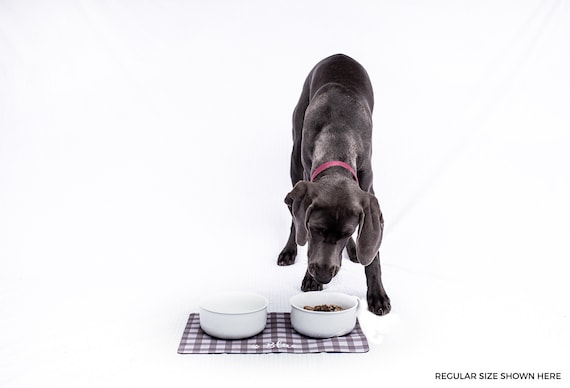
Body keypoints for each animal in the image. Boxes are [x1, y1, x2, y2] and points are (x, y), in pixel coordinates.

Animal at [276, 53, 390, 316]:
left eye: (347, 233)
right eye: (315, 229)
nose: (323, 276)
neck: (338, 135)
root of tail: (339, 55)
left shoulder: (368, 190)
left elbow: (374, 253)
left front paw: (377, 294)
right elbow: (302, 231)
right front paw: (310, 278)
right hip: (294, 159)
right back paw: (290, 250)